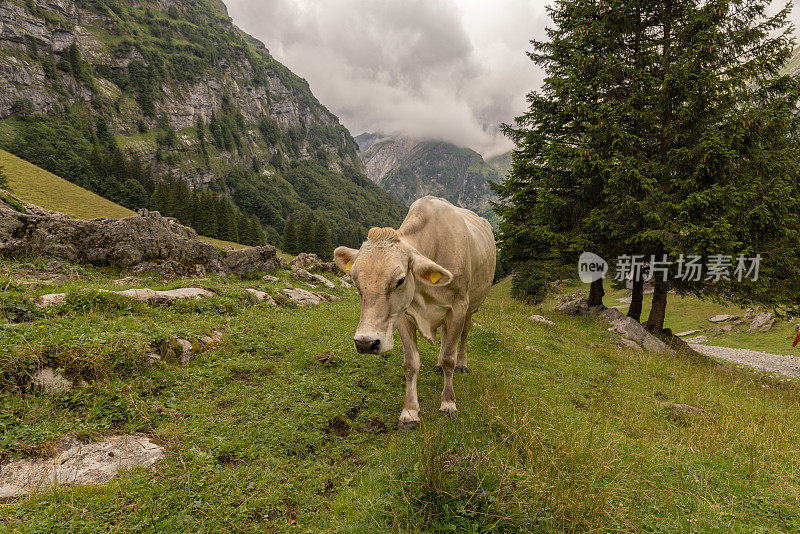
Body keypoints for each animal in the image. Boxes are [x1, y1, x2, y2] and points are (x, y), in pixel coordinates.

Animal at [332, 197, 494, 432]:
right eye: (354, 280)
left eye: (399, 280)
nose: (365, 343)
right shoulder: (402, 314)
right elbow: (411, 363)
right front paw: (409, 413)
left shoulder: (458, 307)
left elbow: (449, 357)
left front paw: (448, 404)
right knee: (445, 335)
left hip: (472, 306)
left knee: (463, 335)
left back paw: (462, 364)